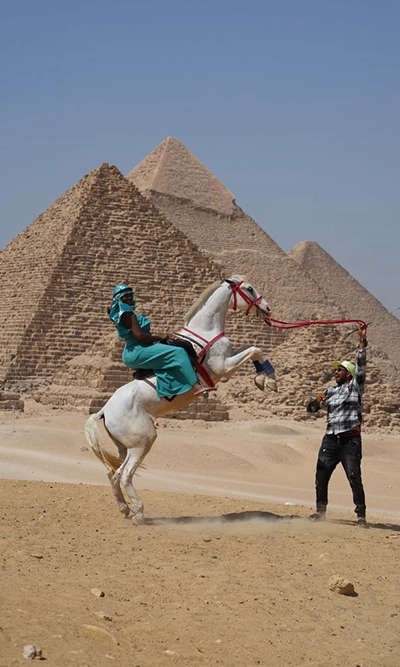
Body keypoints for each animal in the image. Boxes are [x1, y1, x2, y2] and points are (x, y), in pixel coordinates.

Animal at [84, 276, 277, 525]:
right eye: (249, 288)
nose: (267, 308)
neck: (204, 330)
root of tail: (104, 410)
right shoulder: (222, 368)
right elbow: (256, 349)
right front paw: (269, 380)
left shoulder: (228, 361)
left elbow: (252, 349)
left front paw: (262, 378)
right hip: (143, 441)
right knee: (124, 474)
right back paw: (139, 513)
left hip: (123, 446)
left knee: (112, 473)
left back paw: (125, 509)